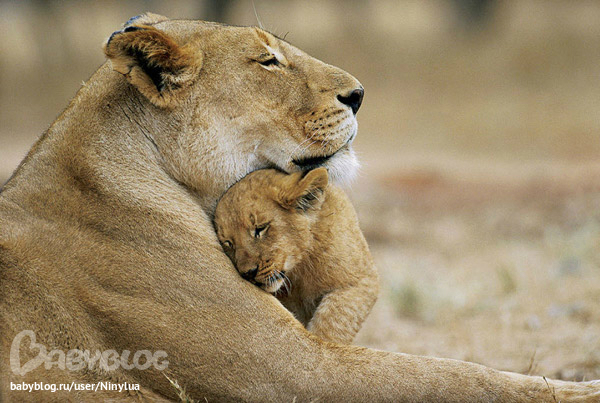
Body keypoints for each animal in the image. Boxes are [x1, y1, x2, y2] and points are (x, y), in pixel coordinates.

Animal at [214, 167, 379, 344]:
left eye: (260, 228)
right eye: (228, 243)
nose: (248, 273)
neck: (299, 270)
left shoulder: (363, 280)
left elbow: (334, 322)